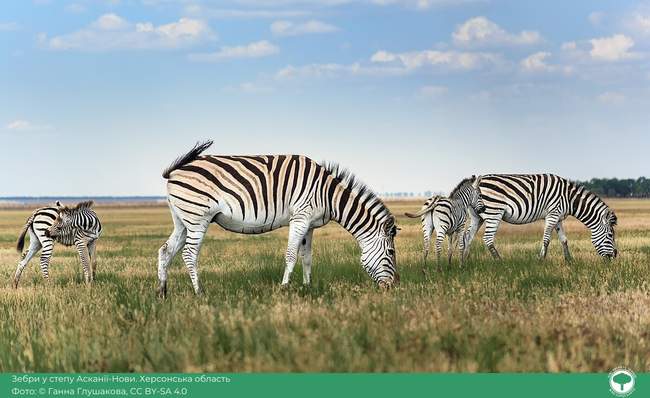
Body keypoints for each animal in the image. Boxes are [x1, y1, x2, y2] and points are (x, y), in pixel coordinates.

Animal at [158, 140, 400, 296]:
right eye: (391, 252)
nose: (395, 287)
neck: (327, 194)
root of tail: (175, 170)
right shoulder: (300, 218)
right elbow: (291, 255)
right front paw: (285, 289)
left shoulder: (310, 225)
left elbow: (307, 257)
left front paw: (308, 288)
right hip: (198, 218)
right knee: (189, 254)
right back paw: (199, 293)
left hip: (182, 221)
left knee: (165, 250)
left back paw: (162, 292)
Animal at [458, 173, 616, 262]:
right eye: (610, 235)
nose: (615, 256)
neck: (569, 198)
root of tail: (475, 183)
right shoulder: (552, 214)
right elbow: (546, 239)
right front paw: (541, 259)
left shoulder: (558, 217)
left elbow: (564, 239)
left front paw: (570, 261)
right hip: (494, 212)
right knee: (488, 239)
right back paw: (500, 262)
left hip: (477, 216)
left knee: (468, 237)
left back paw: (465, 261)